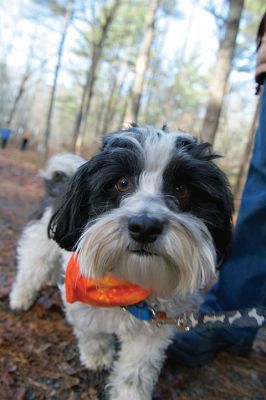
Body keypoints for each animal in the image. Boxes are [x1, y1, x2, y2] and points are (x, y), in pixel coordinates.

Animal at [44, 126, 233, 400]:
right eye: (122, 183)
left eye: (182, 189)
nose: (145, 227)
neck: (126, 282)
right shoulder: (80, 301)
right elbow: (92, 332)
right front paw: (98, 355)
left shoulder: (153, 329)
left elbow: (136, 371)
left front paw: (128, 392)